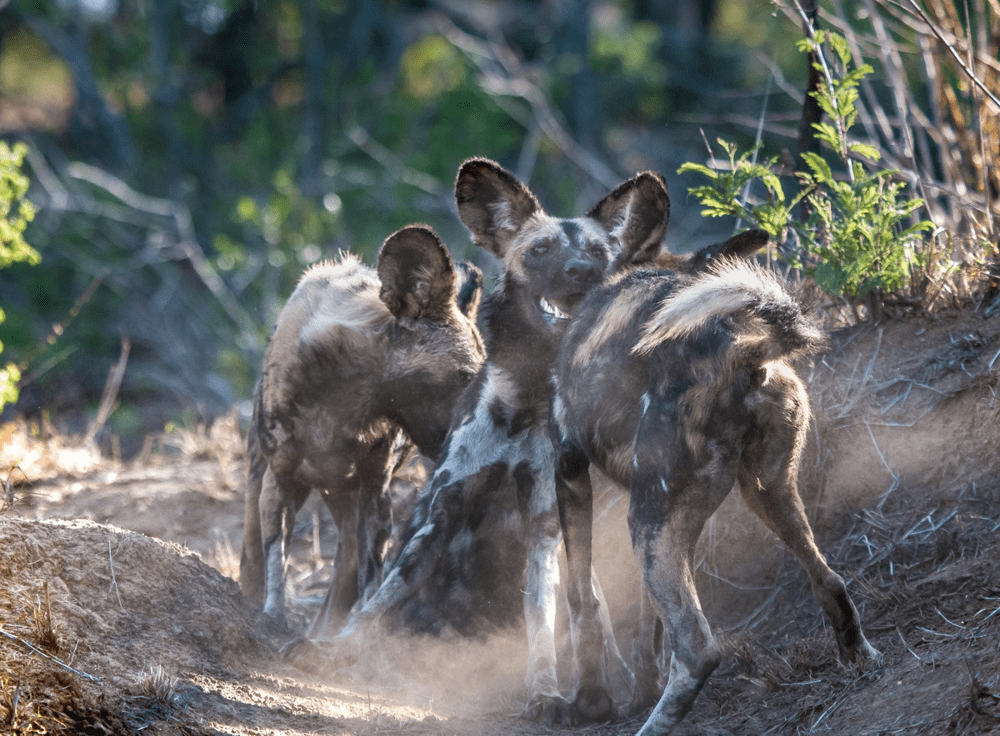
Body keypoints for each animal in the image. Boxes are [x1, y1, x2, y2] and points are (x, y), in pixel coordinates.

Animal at [246, 226, 488, 632]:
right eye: (468, 377)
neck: (344, 399)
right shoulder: (280, 478)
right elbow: (276, 561)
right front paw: (271, 618)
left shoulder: (377, 490)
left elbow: (370, 578)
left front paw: (349, 631)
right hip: (268, 478)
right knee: (252, 550)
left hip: (345, 495)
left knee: (347, 563)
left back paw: (322, 631)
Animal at [336, 157, 672, 724]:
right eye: (540, 250)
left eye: (599, 254)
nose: (581, 273)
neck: (526, 402)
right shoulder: (443, 511)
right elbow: (387, 593)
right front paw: (333, 650)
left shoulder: (543, 521)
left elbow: (544, 622)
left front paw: (546, 693)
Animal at [548, 256, 884, 732]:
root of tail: (743, 354)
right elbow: (647, 628)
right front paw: (641, 690)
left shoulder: (569, 469)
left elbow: (582, 603)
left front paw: (592, 700)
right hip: (762, 494)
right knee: (829, 579)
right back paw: (860, 657)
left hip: (647, 522)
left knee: (697, 650)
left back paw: (653, 726)